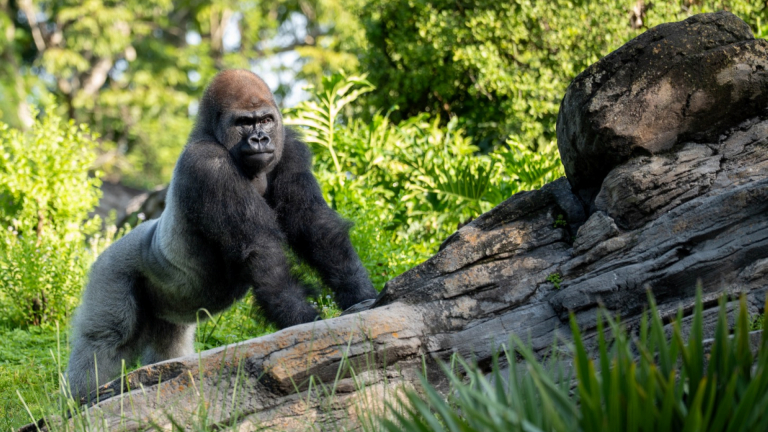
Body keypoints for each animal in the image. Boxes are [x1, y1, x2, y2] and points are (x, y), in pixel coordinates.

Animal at [65, 69, 378, 400]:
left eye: (266, 119)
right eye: (243, 123)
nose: (260, 138)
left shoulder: (290, 148)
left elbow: (314, 225)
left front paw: (361, 294)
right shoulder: (208, 164)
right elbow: (261, 249)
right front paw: (303, 321)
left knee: (168, 348)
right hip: (110, 269)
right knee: (106, 338)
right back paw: (81, 399)